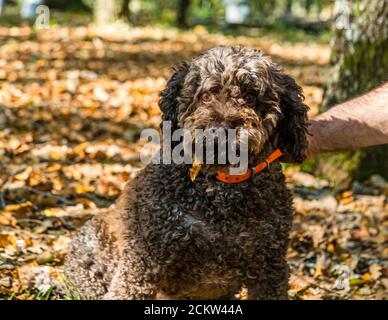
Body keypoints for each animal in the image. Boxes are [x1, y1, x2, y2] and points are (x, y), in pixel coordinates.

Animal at [65, 45, 310, 300]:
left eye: (250, 96)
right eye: (205, 96)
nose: (221, 130)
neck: (220, 188)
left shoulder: (269, 266)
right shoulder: (143, 258)